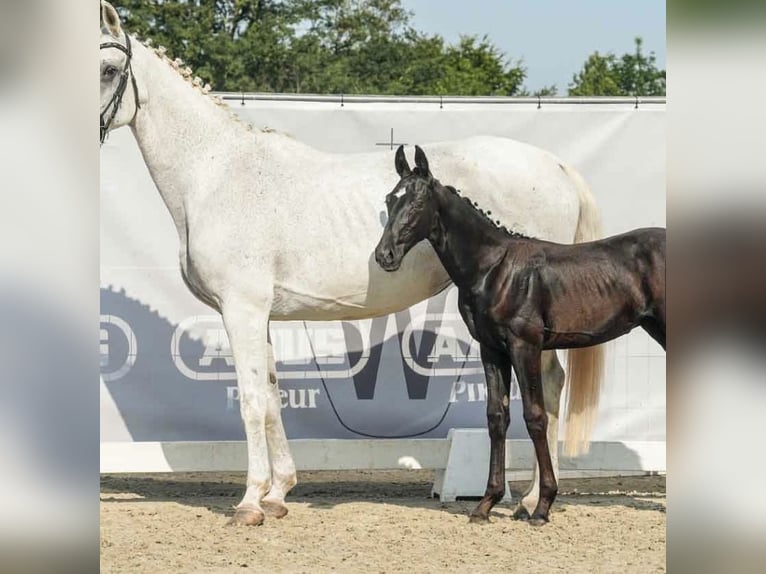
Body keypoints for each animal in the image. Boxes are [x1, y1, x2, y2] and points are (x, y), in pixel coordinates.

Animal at [376, 147, 664, 528]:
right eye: (390, 199)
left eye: (418, 200)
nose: (384, 256)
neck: (494, 269)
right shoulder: (491, 349)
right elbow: (497, 417)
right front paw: (485, 505)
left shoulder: (524, 346)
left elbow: (535, 417)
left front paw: (541, 506)